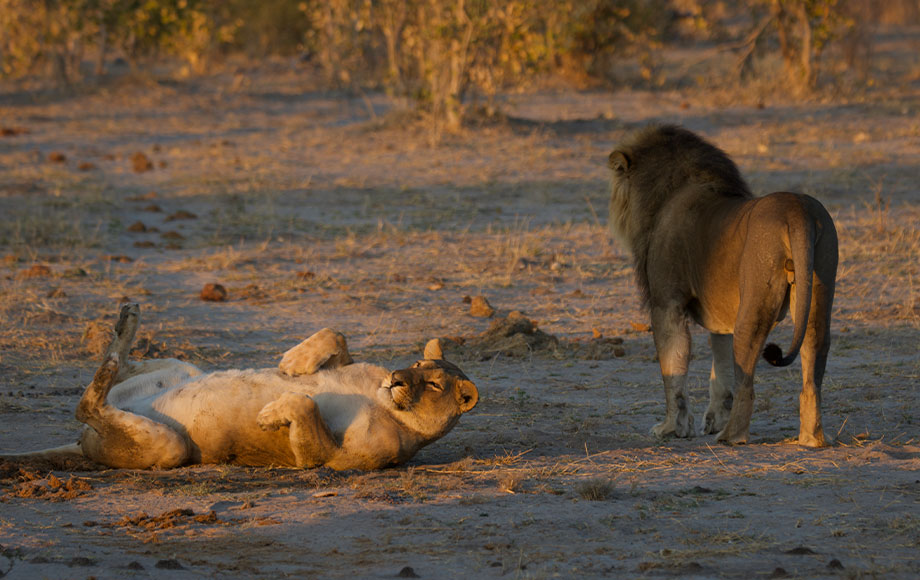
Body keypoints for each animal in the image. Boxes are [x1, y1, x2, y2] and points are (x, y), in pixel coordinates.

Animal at [5, 304, 482, 472]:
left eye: (434, 383)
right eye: (418, 364)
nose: (397, 378)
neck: (385, 400)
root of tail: (81, 444)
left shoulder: (336, 462)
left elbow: (307, 407)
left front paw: (271, 412)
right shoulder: (352, 365)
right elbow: (337, 333)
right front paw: (293, 362)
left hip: (170, 448)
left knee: (88, 404)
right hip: (182, 368)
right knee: (122, 368)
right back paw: (126, 323)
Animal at [608, 124, 836, 446]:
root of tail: (797, 210)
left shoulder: (666, 304)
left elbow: (673, 370)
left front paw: (671, 428)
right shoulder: (721, 315)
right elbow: (721, 369)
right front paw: (712, 419)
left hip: (753, 308)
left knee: (747, 386)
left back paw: (730, 436)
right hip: (818, 288)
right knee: (812, 374)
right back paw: (810, 439)